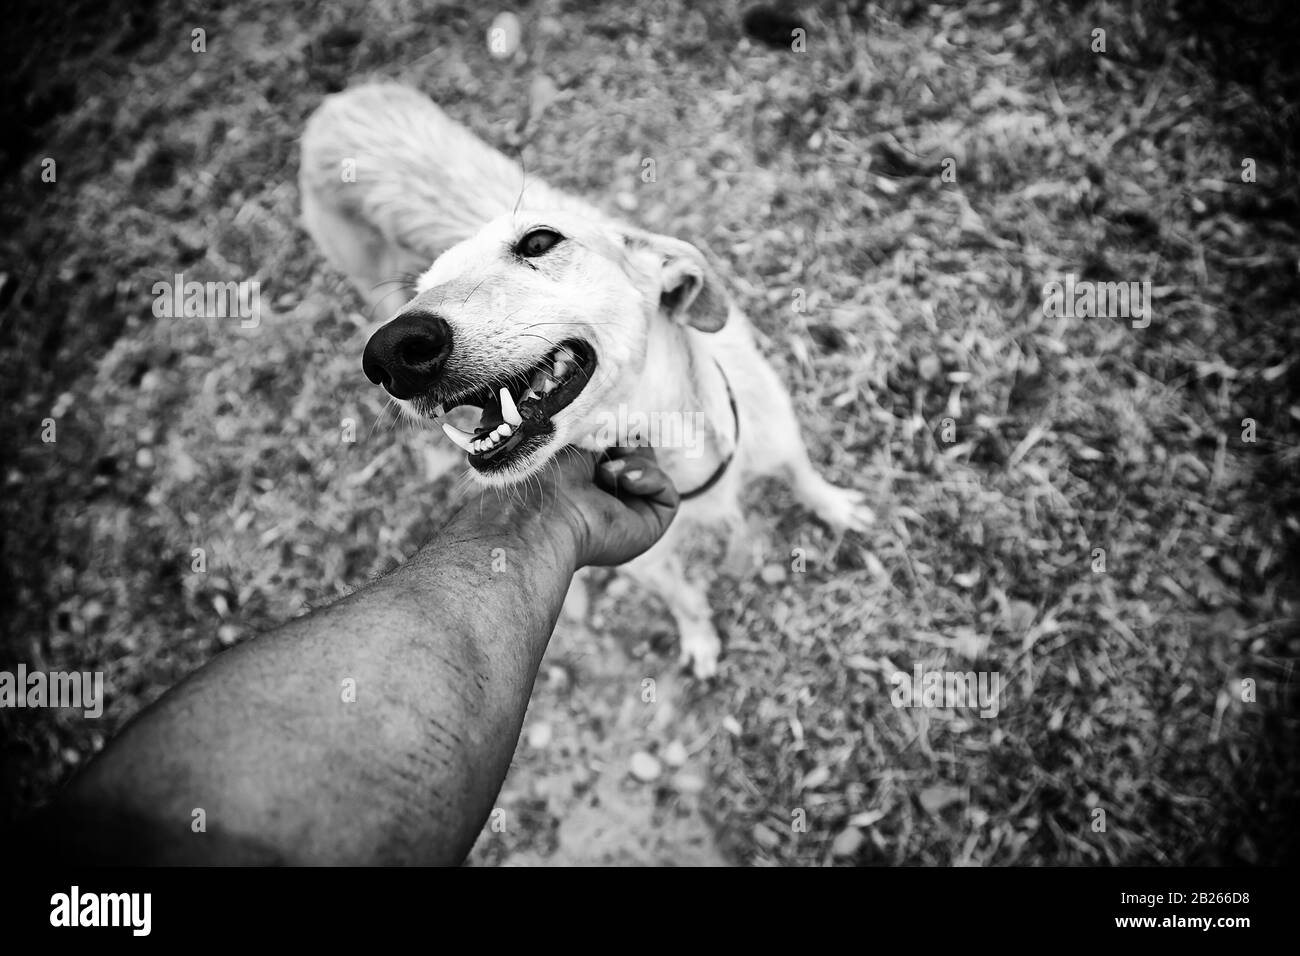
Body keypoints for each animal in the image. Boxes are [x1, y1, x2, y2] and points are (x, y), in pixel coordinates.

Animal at [301, 83, 873, 681]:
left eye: (539, 241)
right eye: (422, 287)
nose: (390, 353)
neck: (675, 439)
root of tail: (342, 99)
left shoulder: (778, 435)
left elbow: (805, 477)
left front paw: (836, 507)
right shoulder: (646, 555)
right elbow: (685, 599)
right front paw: (699, 638)